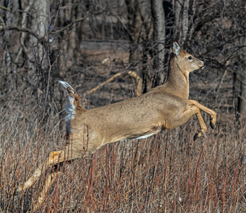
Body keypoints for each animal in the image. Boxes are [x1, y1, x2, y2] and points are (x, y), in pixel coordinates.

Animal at [14, 41, 216, 210]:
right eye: (189, 56)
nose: (203, 63)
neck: (175, 92)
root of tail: (77, 112)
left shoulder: (176, 114)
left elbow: (194, 102)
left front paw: (210, 123)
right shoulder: (171, 119)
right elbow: (195, 105)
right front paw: (203, 130)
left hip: (76, 144)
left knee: (56, 167)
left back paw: (35, 203)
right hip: (85, 145)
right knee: (52, 155)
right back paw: (19, 188)